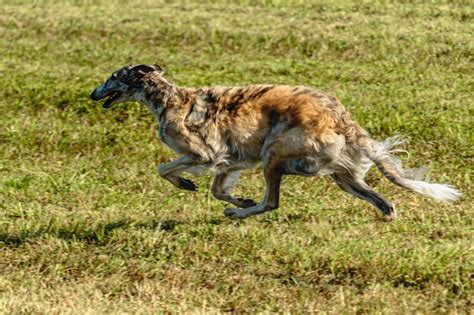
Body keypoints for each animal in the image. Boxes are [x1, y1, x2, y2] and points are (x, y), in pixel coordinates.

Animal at [90, 64, 462, 220]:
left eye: (112, 77)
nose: (92, 93)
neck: (169, 100)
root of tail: (343, 118)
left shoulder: (204, 154)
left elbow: (165, 168)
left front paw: (186, 184)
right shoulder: (229, 160)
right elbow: (218, 188)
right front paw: (238, 198)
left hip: (275, 154)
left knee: (272, 201)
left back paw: (238, 215)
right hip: (344, 177)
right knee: (387, 203)